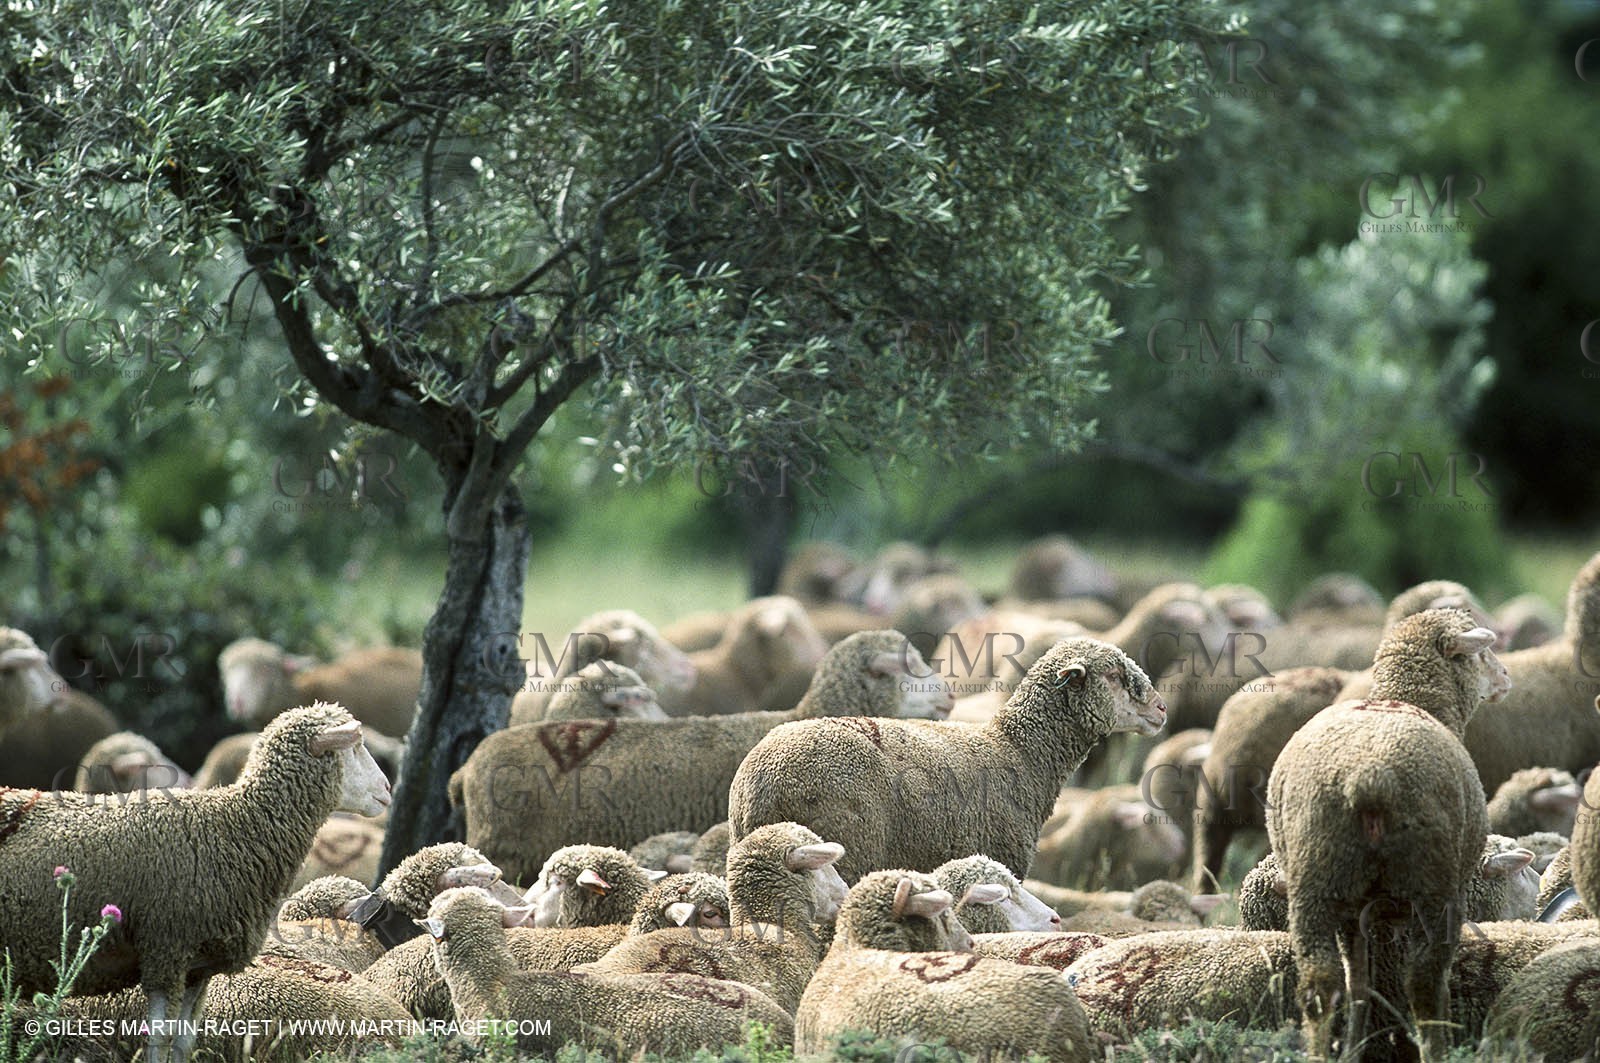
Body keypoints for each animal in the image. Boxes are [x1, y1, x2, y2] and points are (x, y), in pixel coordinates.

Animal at [0, 701, 390, 1063]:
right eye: (355, 747)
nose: (387, 789)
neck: (236, 827)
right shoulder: (167, 952)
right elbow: (159, 1038)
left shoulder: (198, 966)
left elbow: (185, 1040)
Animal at [731, 637, 1167, 884]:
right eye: (1113, 675)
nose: (1161, 709)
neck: (1020, 750)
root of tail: (761, 781)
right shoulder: (1003, 858)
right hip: (850, 847)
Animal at [1266, 609, 1508, 1061]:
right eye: (1482, 652)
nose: (1505, 677)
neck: (1406, 697)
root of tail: (1370, 774)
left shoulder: (1354, 912)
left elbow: (1360, 984)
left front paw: (1354, 1046)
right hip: (1434, 886)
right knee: (1425, 983)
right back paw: (1436, 1049)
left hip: (1315, 878)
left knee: (1321, 985)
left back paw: (1323, 1052)